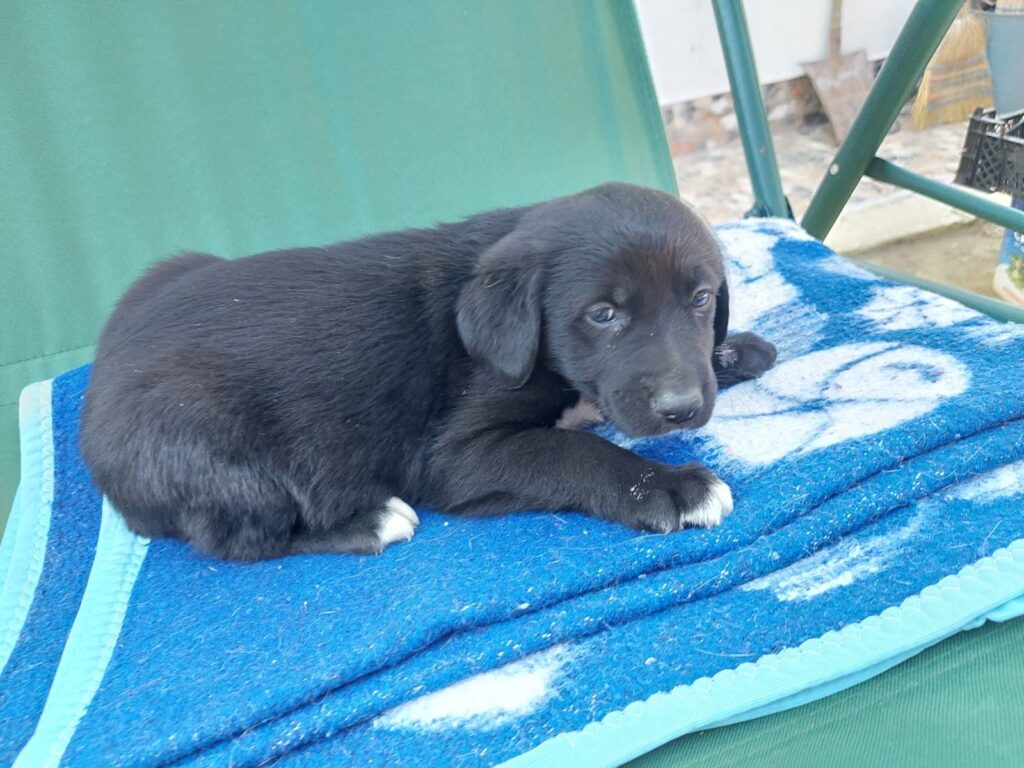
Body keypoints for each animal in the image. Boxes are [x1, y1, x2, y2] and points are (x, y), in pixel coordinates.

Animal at [80, 183, 777, 561]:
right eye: (603, 314)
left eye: (702, 299)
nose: (681, 409)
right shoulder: (457, 455)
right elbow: (575, 451)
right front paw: (670, 487)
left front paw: (733, 351)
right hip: (213, 447)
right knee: (241, 539)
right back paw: (367, 522)